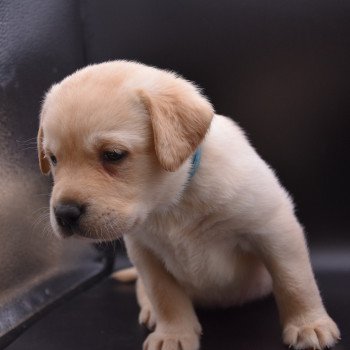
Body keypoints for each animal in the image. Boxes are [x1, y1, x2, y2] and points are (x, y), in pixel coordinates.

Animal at [37, 61, 340, 350]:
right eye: (53, 158)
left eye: (113, 155)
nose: (64, 213)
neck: (172, 202)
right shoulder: (145, 253)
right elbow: (164, 295)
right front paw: (173, 334)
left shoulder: (274, 226)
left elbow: (294, 280)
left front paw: (309, 325)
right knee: (143, 291)